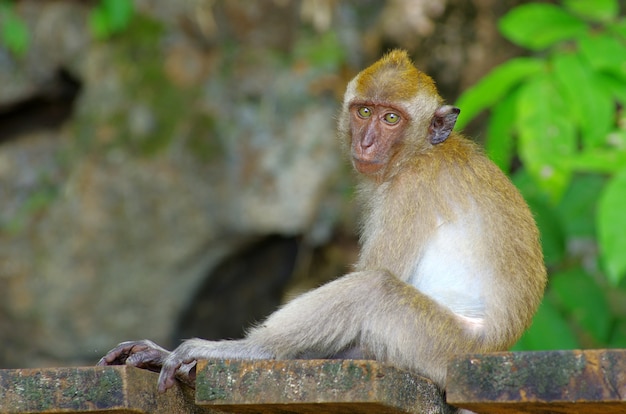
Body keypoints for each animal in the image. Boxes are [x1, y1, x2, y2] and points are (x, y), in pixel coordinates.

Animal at [96, 50, 540, 392]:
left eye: (391, 119)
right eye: (364, 111)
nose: (367, 142)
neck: (422, 153)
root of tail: (494, 347)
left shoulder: (409, 192)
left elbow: (375, 282)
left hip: (440, 345)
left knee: (373, 289)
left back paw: (254, 349)